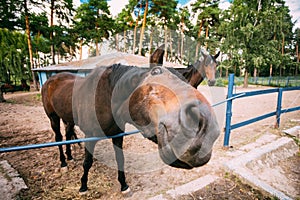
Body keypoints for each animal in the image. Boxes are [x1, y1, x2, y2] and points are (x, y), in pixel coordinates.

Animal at [41, 58, 220, 195]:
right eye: (155, 75)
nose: (205, 129)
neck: (105, 98)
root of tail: (51, 79)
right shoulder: (90, 137)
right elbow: (87, 163)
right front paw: (83, 186)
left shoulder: (117, 135)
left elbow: (120, 159)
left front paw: (124, 185)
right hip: (53, 118)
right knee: (58, 137)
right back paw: (63, 163)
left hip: (67, 119)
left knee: (67, 134)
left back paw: (70, 157)